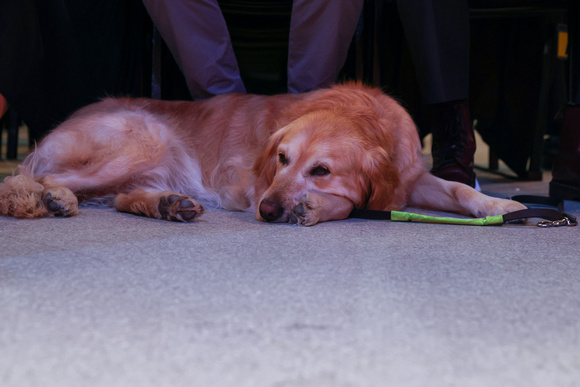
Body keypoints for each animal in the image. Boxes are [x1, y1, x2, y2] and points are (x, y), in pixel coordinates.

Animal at [0, 83, 524, 226]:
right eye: (281, 159)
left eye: (321, 169)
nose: (269, 210)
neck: (361, 112)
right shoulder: (251, 186)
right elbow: (350, 203)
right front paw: (314, 207)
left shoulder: (412, 175)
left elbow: (457, 188)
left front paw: (503, 205)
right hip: (145, 139)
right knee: (24, 181)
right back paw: (55, 199)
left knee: (122, 198)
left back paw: (169, 205)